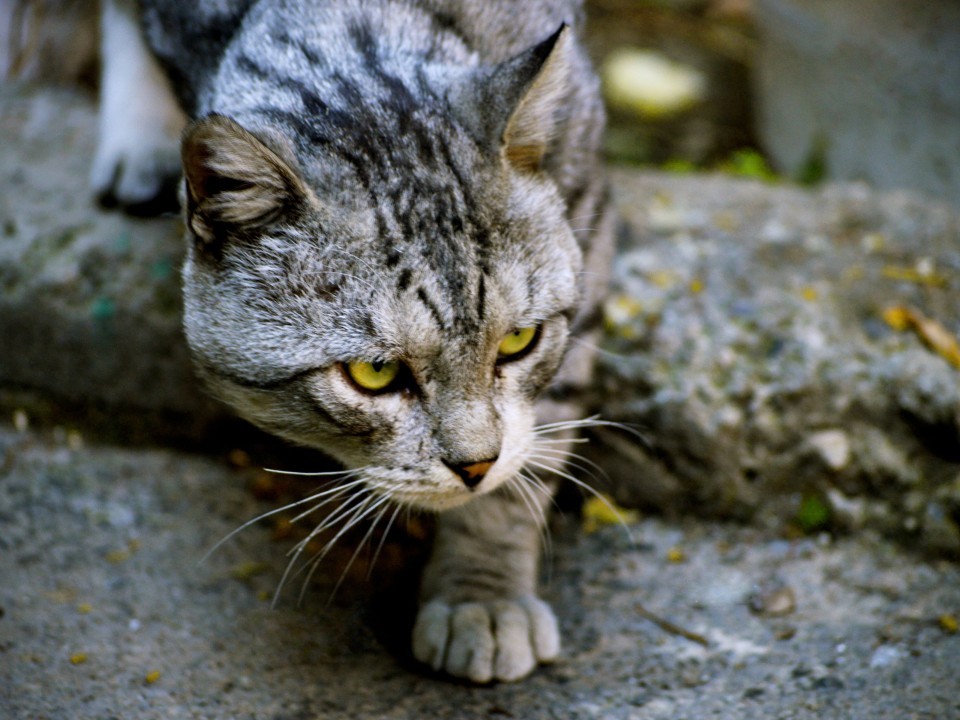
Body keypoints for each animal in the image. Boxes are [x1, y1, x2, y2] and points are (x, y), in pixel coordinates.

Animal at [92, 0, 616, 684]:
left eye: (519, 341)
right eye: (374, 374)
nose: (474, 467)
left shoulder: (591, 213)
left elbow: (536, 447)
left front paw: (483, 592)